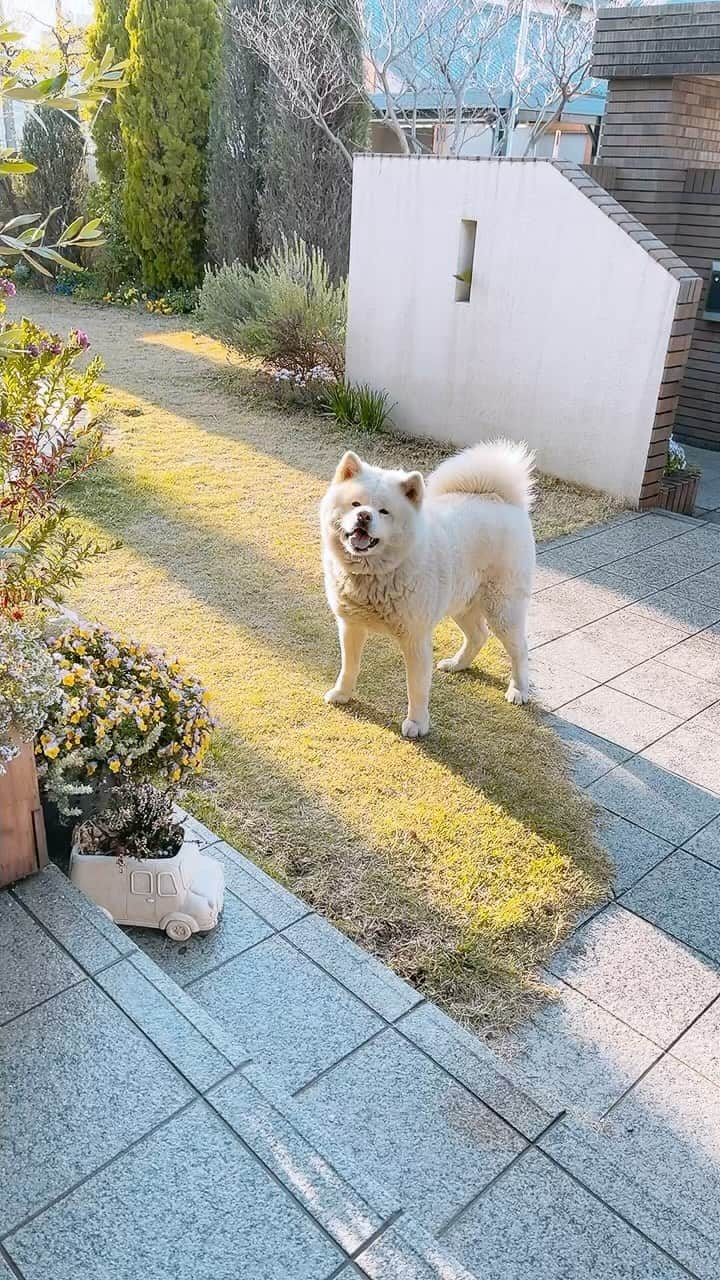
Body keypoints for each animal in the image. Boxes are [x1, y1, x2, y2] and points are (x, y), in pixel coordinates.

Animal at [319, 440, 532, 742]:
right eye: (355, 504)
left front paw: (417, 723)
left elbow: (416, 687)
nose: (363, 516)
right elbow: (349, 666)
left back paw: (519, 690)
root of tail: (498, 498)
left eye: (384, 511)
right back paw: (457, 664)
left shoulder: (415, 638)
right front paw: (342, 693)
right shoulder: (351, 626)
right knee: (478, 635)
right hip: (461, 603)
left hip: (503, 610)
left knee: (519, 650)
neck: (375, 575)